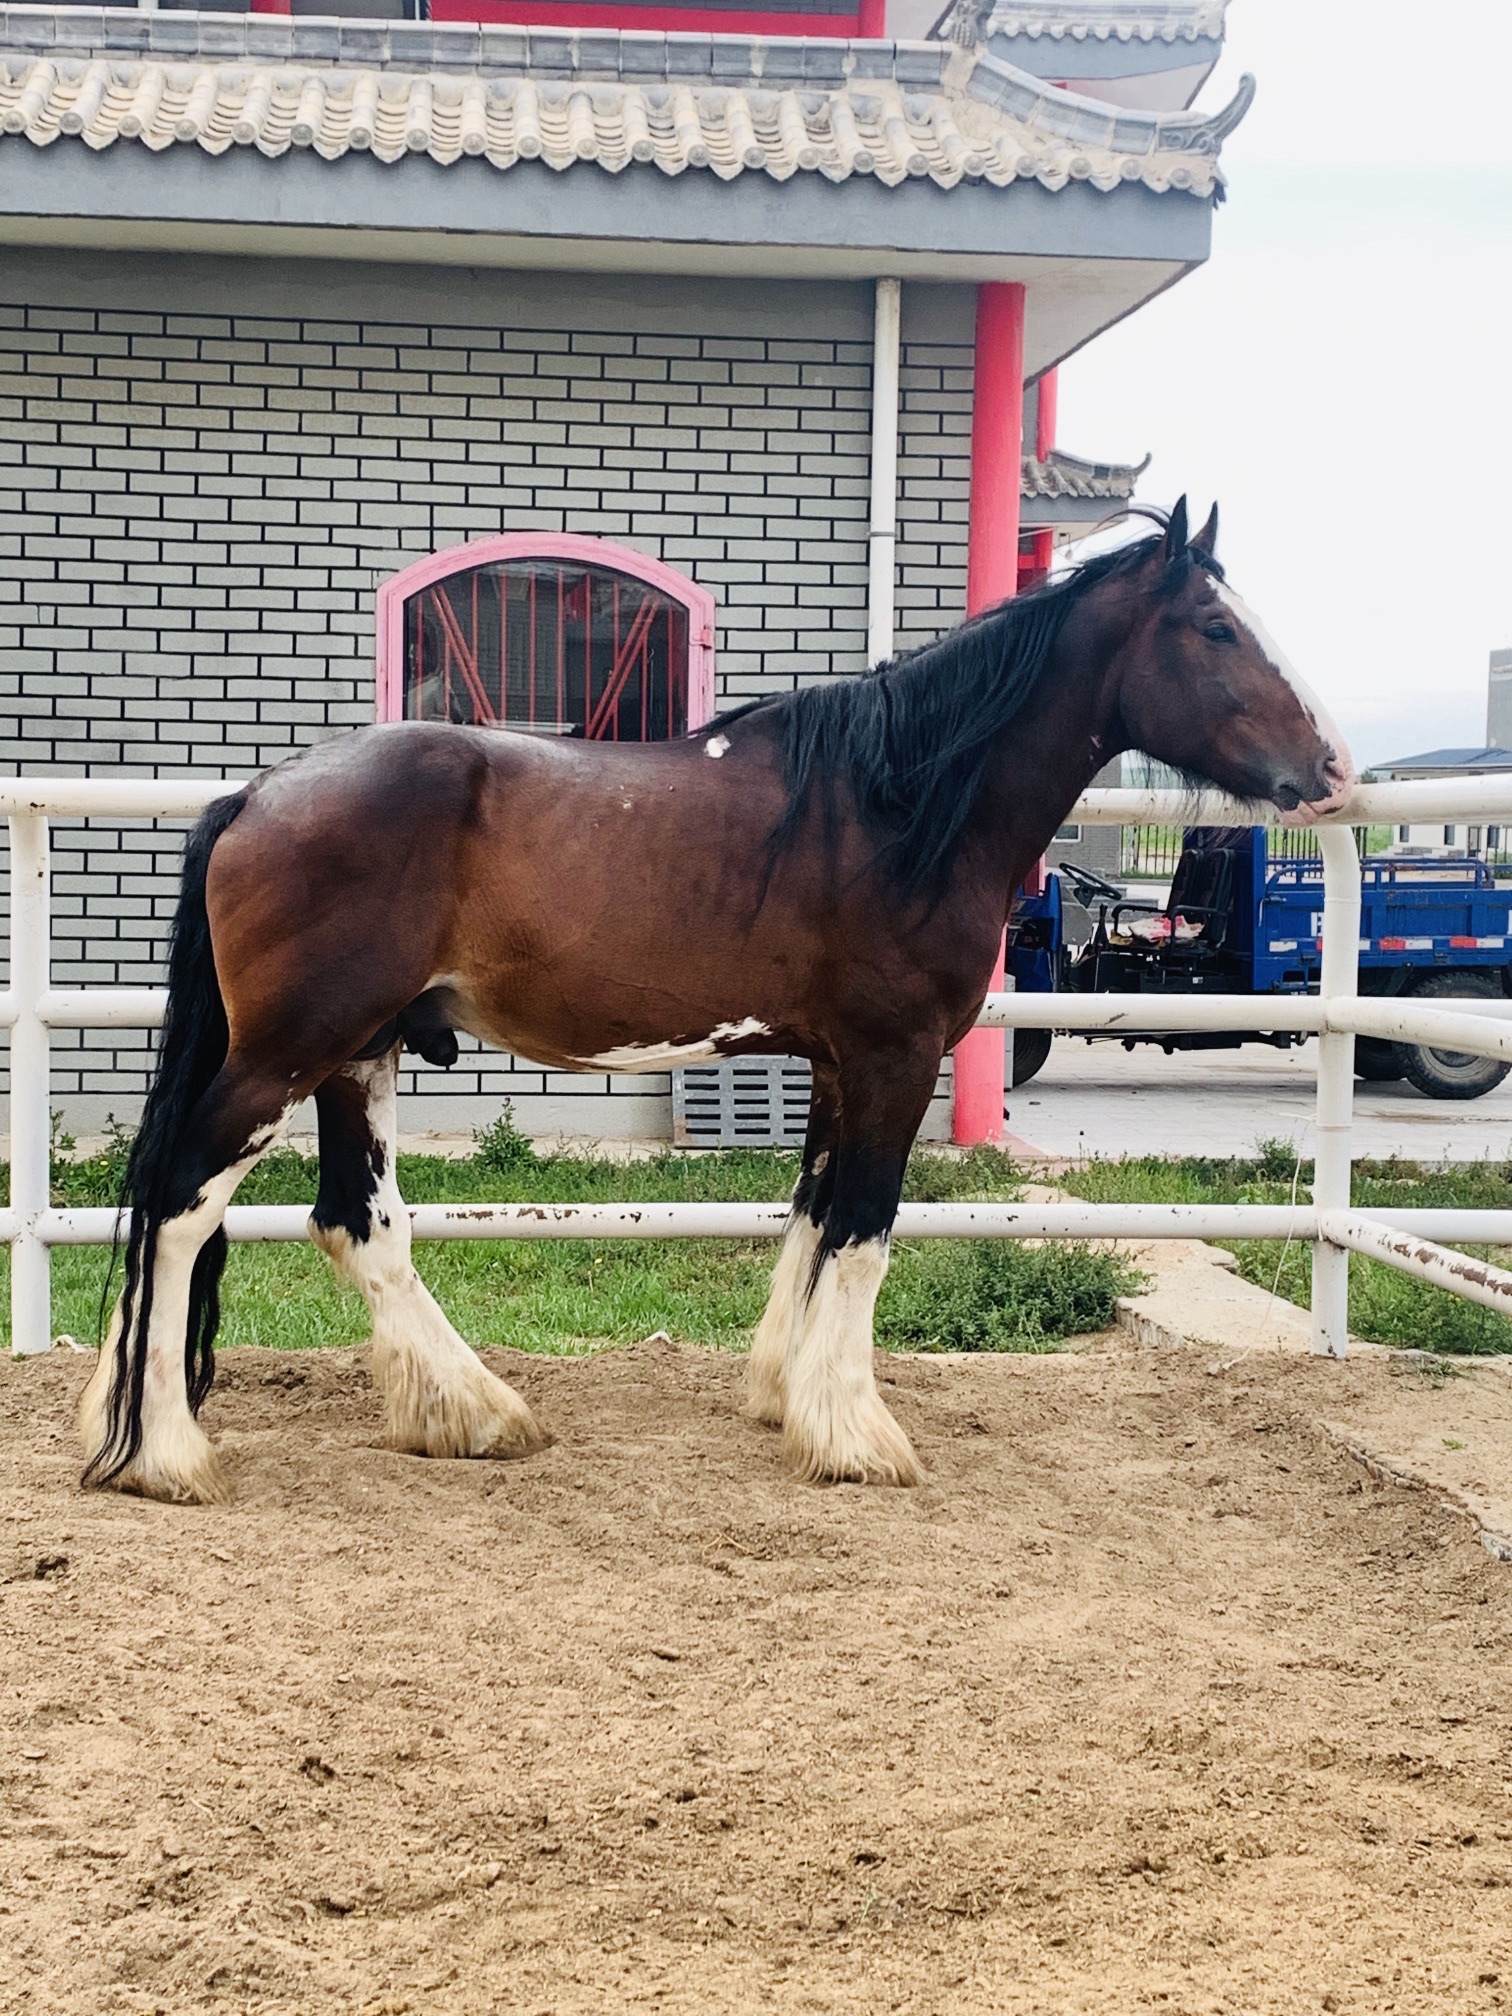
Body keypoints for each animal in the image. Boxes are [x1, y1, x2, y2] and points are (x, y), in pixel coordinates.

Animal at [78, 499, 1353, 1505]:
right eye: (1216, 627)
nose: (1335, 773)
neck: (894, 806)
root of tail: (256, 794)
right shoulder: (894, 1059)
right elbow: (865, 1233)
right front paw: (857, 1436)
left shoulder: (837, 1064)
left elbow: (811, 1220)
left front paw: (788, 1398)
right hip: (290, 1055)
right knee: (180, 1198)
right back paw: (162, 1455)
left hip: (362, 1053)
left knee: (356, 1222)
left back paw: (468, 1412)